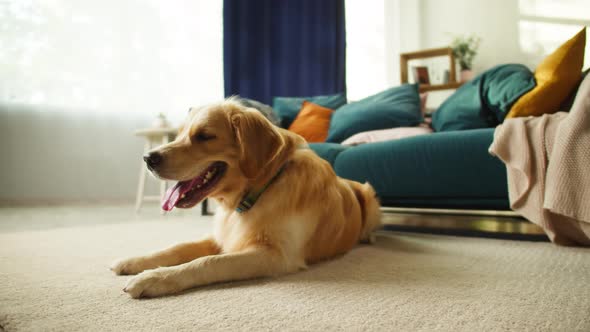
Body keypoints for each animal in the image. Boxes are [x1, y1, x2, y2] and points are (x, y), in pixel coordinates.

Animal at [112, 97, 384, 296]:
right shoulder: (221, 235)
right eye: (178, 135)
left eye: (205, 136)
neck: (259, 191)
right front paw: (135, 261)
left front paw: (154, 278)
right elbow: (177, 248)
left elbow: (209, 262)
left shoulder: (277, 255)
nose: (148, 158)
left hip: (370, 194)